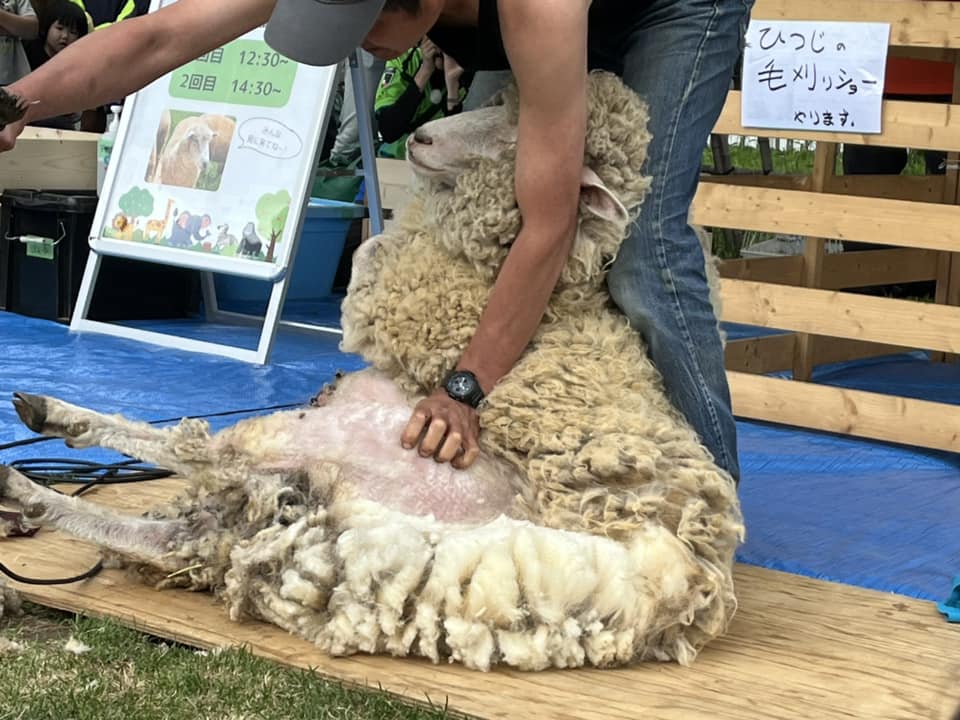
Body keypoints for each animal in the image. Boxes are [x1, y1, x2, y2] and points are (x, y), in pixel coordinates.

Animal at [0, 71, 744, 668]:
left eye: (519, 135)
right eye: (499, 106)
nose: (419, 140)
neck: (564, 286)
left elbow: (366, 264)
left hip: (343, 474)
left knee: (204, 455)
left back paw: (40, 444)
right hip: (295, 506)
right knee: (183, 527)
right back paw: (30, 481)